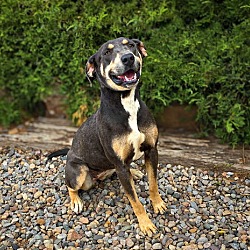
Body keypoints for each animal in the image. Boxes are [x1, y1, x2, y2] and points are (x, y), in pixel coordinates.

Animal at [48, 37, 167, 234]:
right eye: (106, 53)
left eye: (130, 45)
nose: (128, 58)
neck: (126, 103)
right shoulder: (120, 164)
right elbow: (135, 201)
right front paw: (146, 224)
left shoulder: (151, 150)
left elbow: (153, 183)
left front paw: (157, 204)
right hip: (80, 172)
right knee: (70, 186)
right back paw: (76, 201)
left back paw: (135, 172)